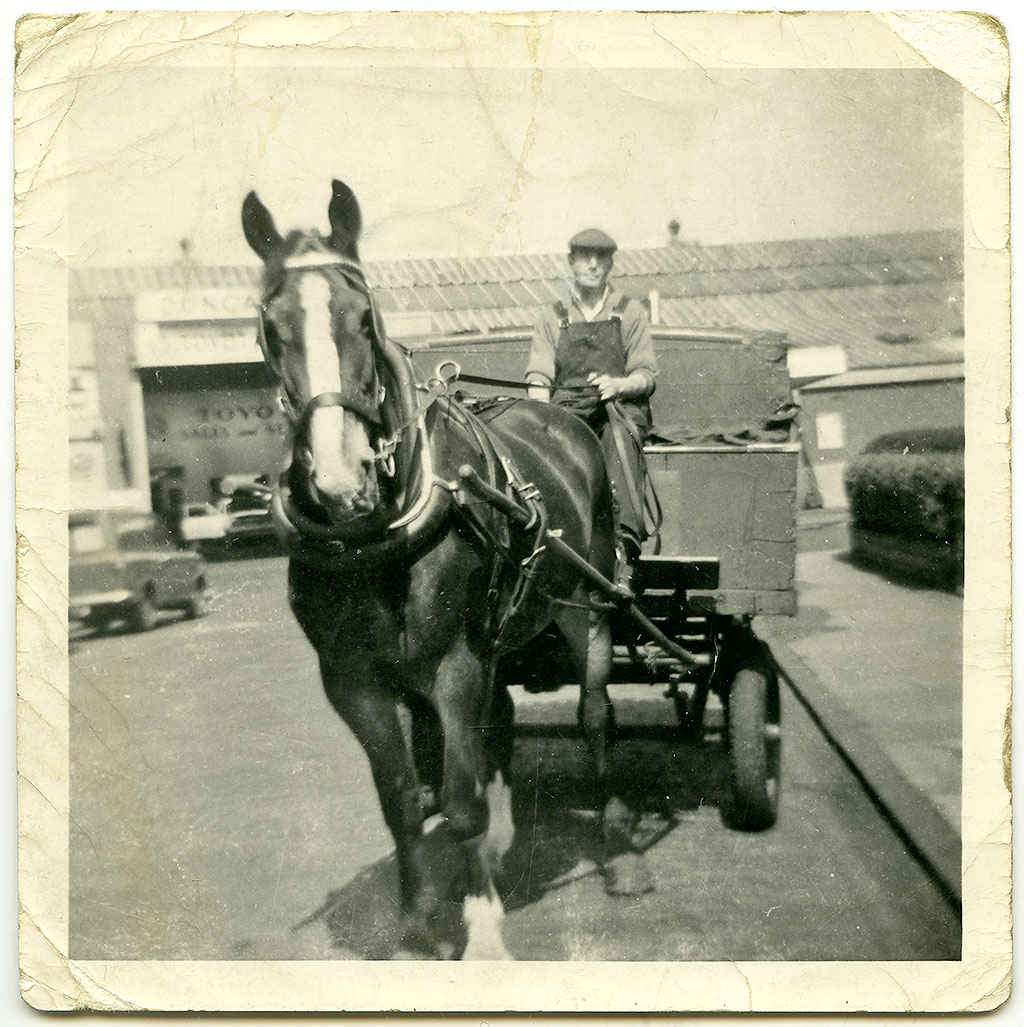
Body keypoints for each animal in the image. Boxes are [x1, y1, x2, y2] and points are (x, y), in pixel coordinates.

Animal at [243, 180, 653, 957]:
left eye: (363, 316)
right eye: (269, 327)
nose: (341, 480)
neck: (374, 534)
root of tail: (564, 415)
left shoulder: (454, 661)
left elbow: (458, 801)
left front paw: (483, 928)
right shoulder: (352, 681)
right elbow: (404, 801)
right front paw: (413, 927)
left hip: (585, 605)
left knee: (595, 717)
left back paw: (618, 849)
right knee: (500, 725)